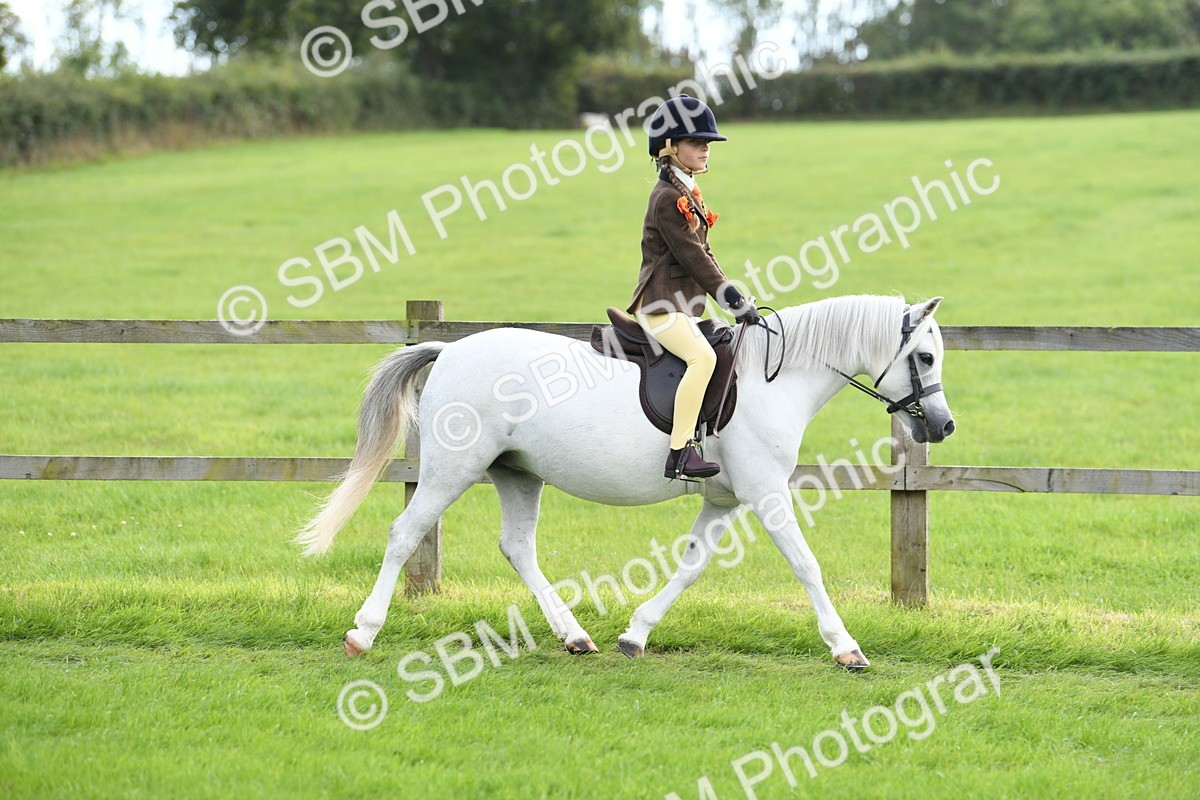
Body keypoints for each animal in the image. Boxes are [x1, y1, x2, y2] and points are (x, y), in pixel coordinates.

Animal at [297, 294, 955, 670]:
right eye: (924, 357)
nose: (944, 425)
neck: (775, 376)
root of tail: (449, 351)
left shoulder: (724, 500)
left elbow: (689, 567)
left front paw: (635, 635)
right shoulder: (765, 493)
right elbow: (806, 564)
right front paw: (846, 648)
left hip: (518, 473)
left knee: (518, 547)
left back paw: (576, 637)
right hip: (451, 469)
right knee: (404, 533)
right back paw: (363, 634)